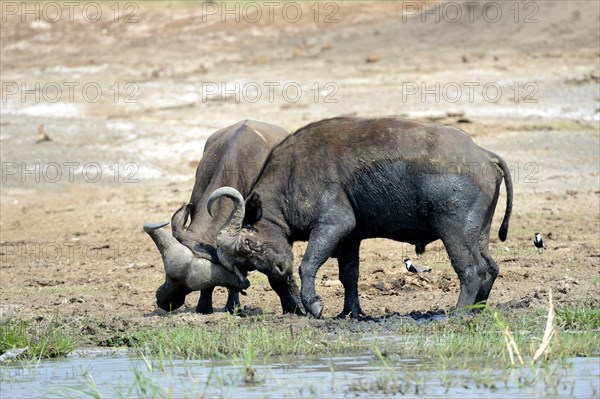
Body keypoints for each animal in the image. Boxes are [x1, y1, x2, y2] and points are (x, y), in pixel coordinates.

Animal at [146, 120, 300, 314]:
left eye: (188, 288)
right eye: (168, 275)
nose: (164, 301)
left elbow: (278, 275)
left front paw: (293, 307)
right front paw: (205, 307)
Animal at [209, 116, 512, 318]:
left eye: (248, 243)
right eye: (245, 263)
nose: (279, 270)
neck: (292, 175)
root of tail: (484, 154)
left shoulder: (334, 225)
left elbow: (308, 264)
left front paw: (314, 305)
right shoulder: (350, 237)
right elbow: (349, 275)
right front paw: (350, 313)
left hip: (454, 231)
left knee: (471, 270)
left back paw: (458, 312)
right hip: (477, 234)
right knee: (491, 268)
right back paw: (477, 309)